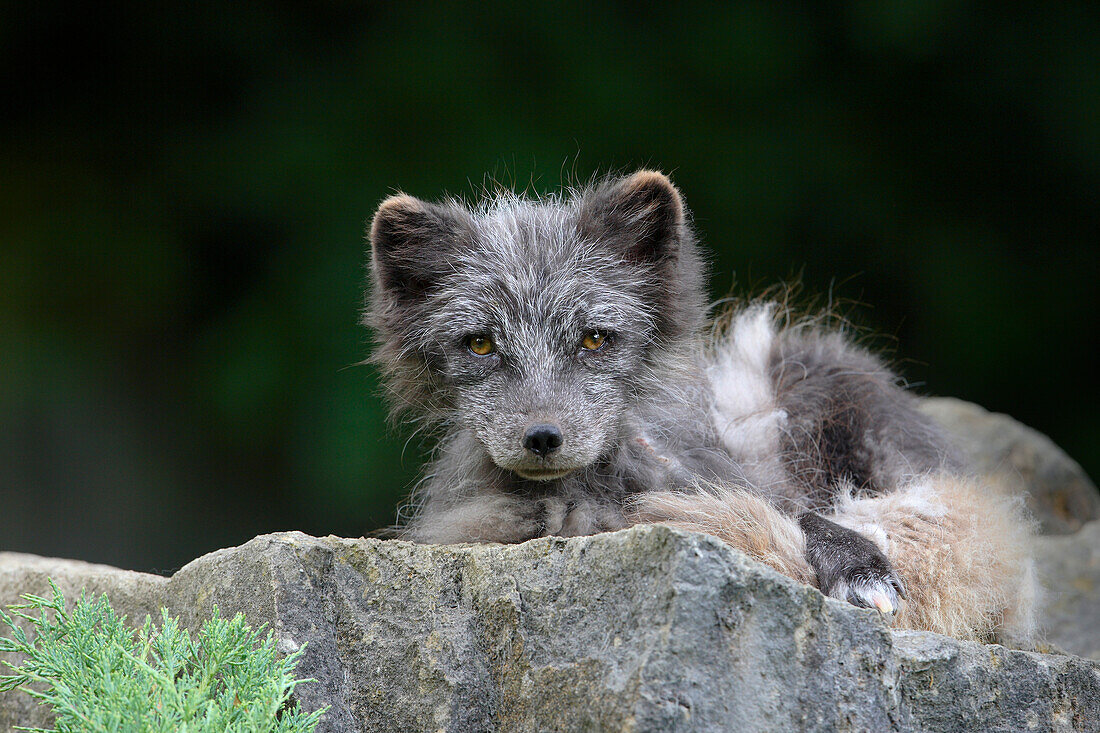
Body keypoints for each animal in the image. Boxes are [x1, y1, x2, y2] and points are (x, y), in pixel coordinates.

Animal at [365, 169, 1034, 638]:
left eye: (593, 339)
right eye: (480, 343)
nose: (543, 437)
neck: (592, 492)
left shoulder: (735, 483)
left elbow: (800, 515)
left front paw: (858, 563)